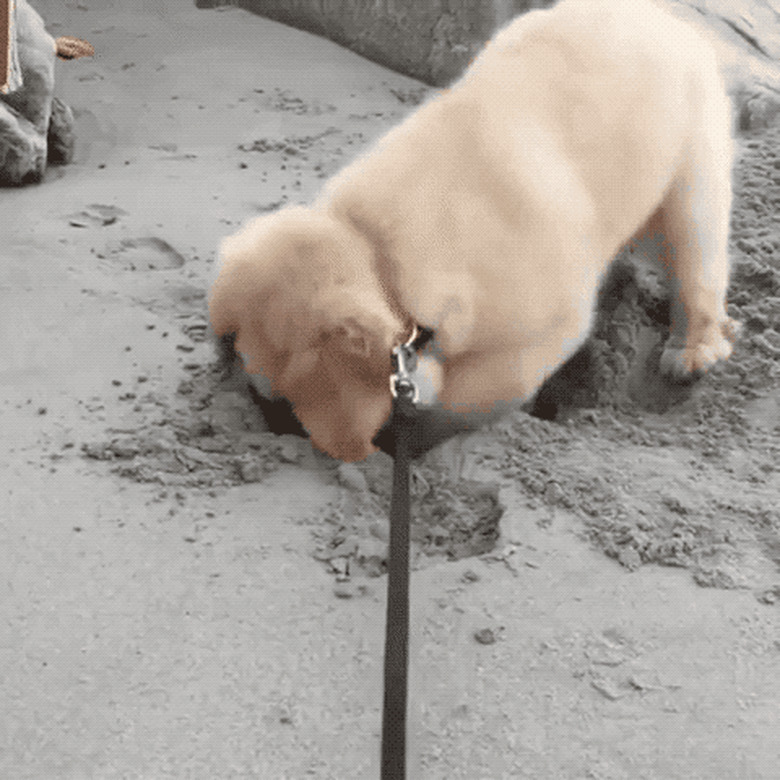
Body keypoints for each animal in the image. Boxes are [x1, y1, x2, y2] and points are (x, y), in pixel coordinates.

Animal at [207, 0, 736, 464]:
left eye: (282, 404)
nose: (270, 425)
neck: (378, 253)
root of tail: (661, 17)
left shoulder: (531, 344)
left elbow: (458, 403)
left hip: (692, 183)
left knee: (697, 271)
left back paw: (691, 352)